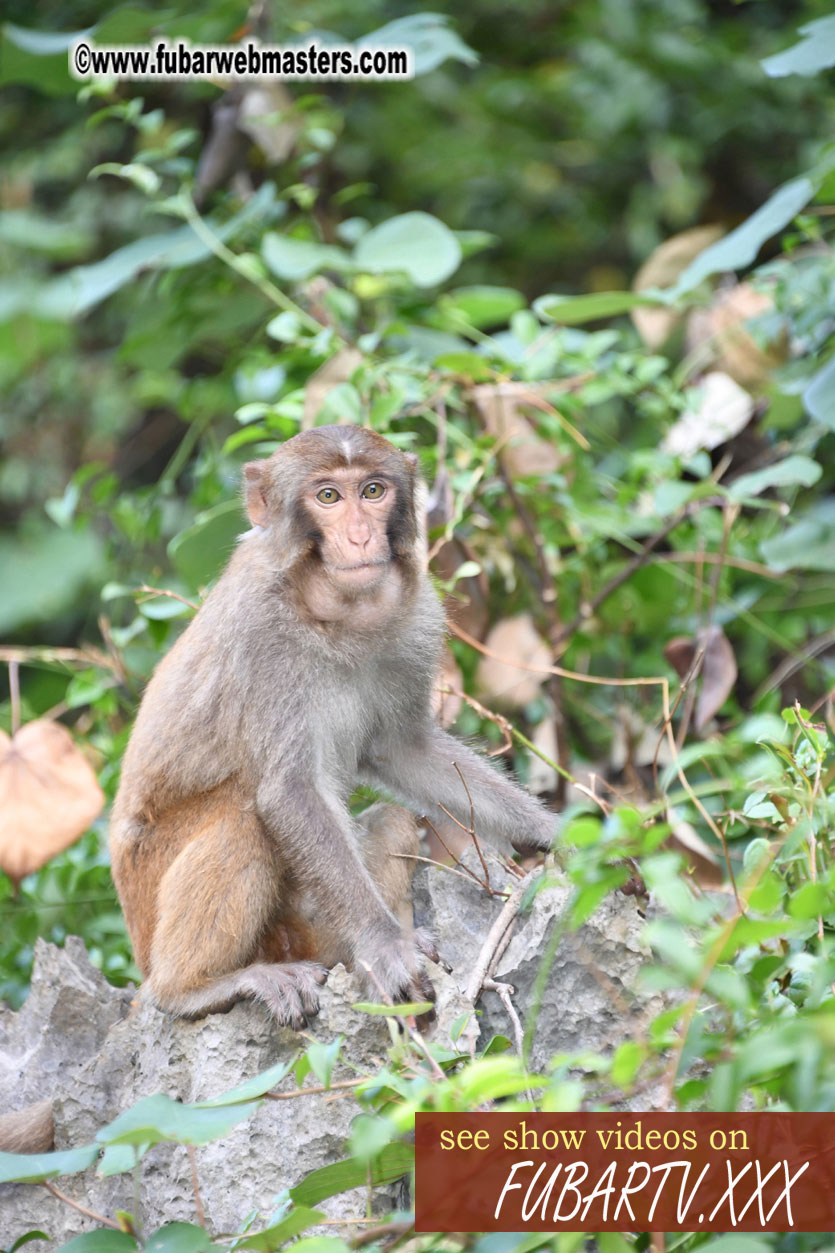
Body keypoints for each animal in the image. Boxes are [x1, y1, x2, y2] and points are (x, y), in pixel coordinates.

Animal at [109, 426, 551, 1032]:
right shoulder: (260, 636)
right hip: (152, 899)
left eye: (372, 490)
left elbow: (402, 749)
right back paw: (195, 989)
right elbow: (289, 791)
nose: (361, 536)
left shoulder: (417, 616)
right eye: (327, 498)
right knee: (242, 822)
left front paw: (554, 834)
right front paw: (385, 947)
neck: (336, 613)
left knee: (392, 819)